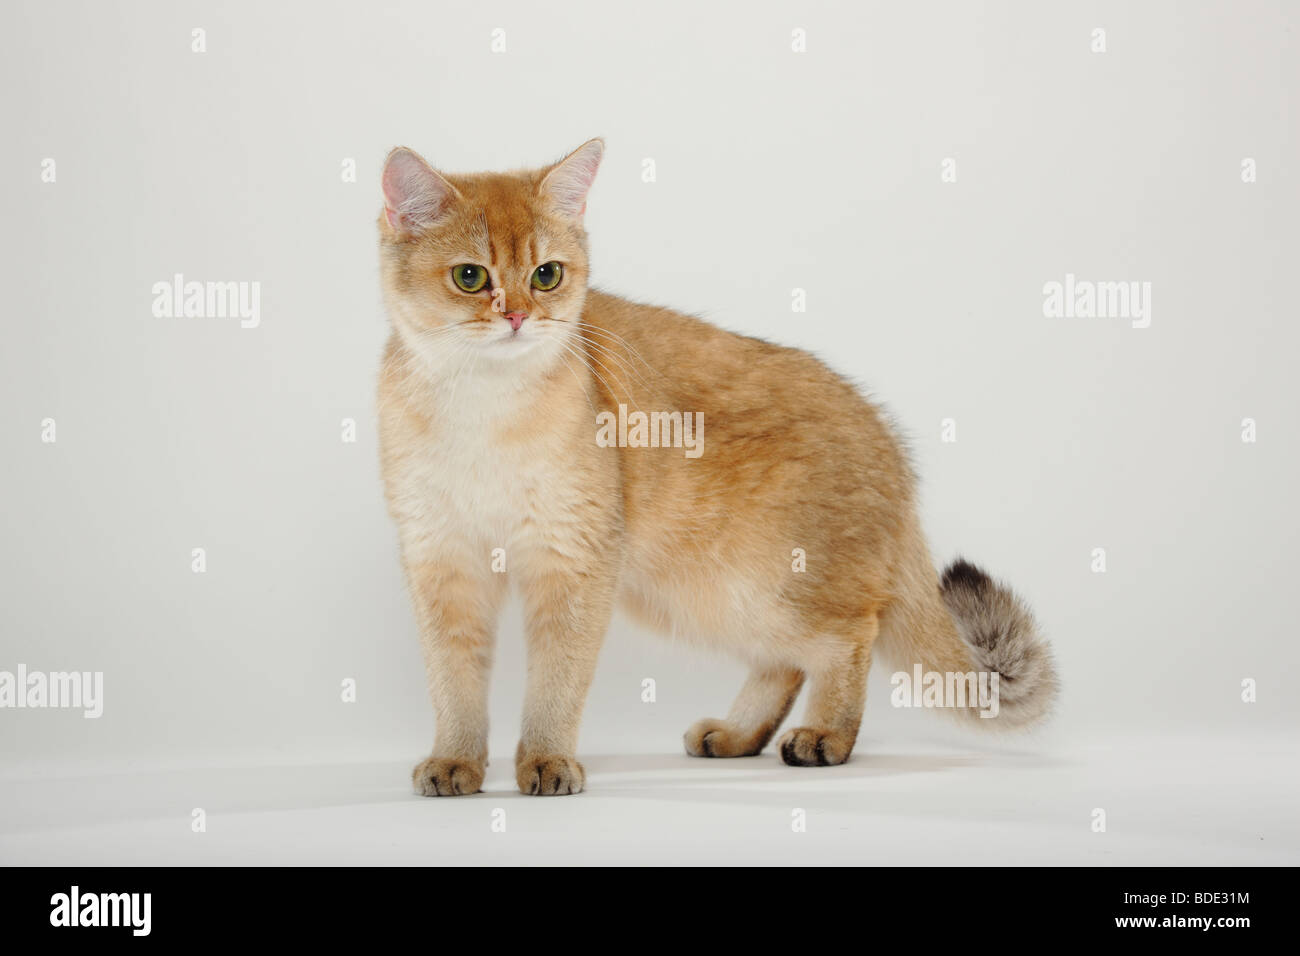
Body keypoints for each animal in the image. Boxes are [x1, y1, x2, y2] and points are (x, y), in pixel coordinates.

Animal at [377, 140, 1055, 801]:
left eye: (548, 275)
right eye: (470, 276)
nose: (518, 316)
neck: (483, 410)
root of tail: (892, 447)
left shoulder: (573, 562)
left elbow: (555, 682)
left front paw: (547, 761)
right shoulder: (443, 561)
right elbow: (454, 681)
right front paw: (455, 762)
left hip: (756, 587)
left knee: (847, 635)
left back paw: (826, 736)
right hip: (695, 592)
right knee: (785, 661)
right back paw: (737, 734)